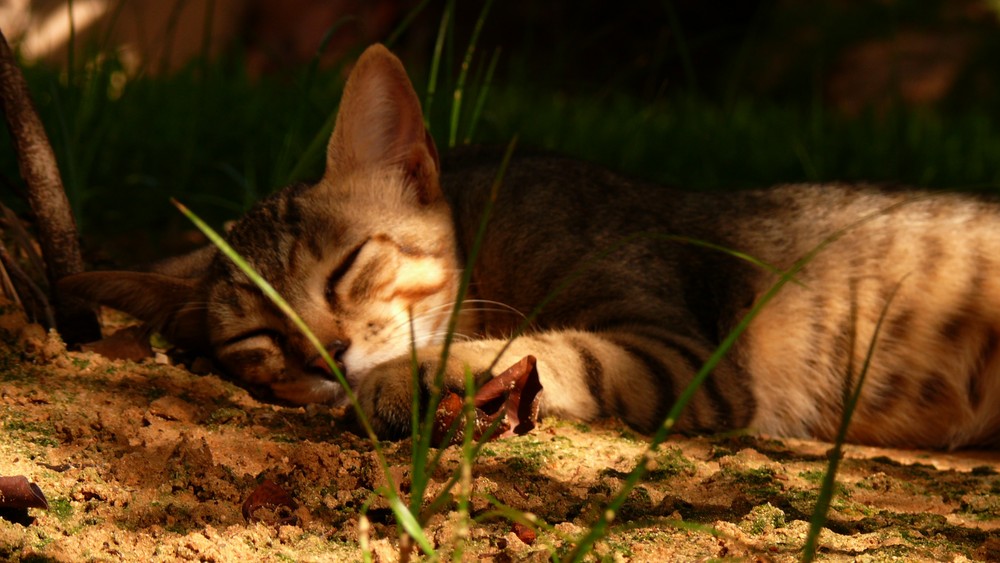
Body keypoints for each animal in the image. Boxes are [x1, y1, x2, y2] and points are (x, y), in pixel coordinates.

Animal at [58, 43, 996, 450]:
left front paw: (397, 381)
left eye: (349, 267)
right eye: (256, 338)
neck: (487, 227)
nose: (326, 355)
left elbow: (530, 348)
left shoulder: (675, 348)